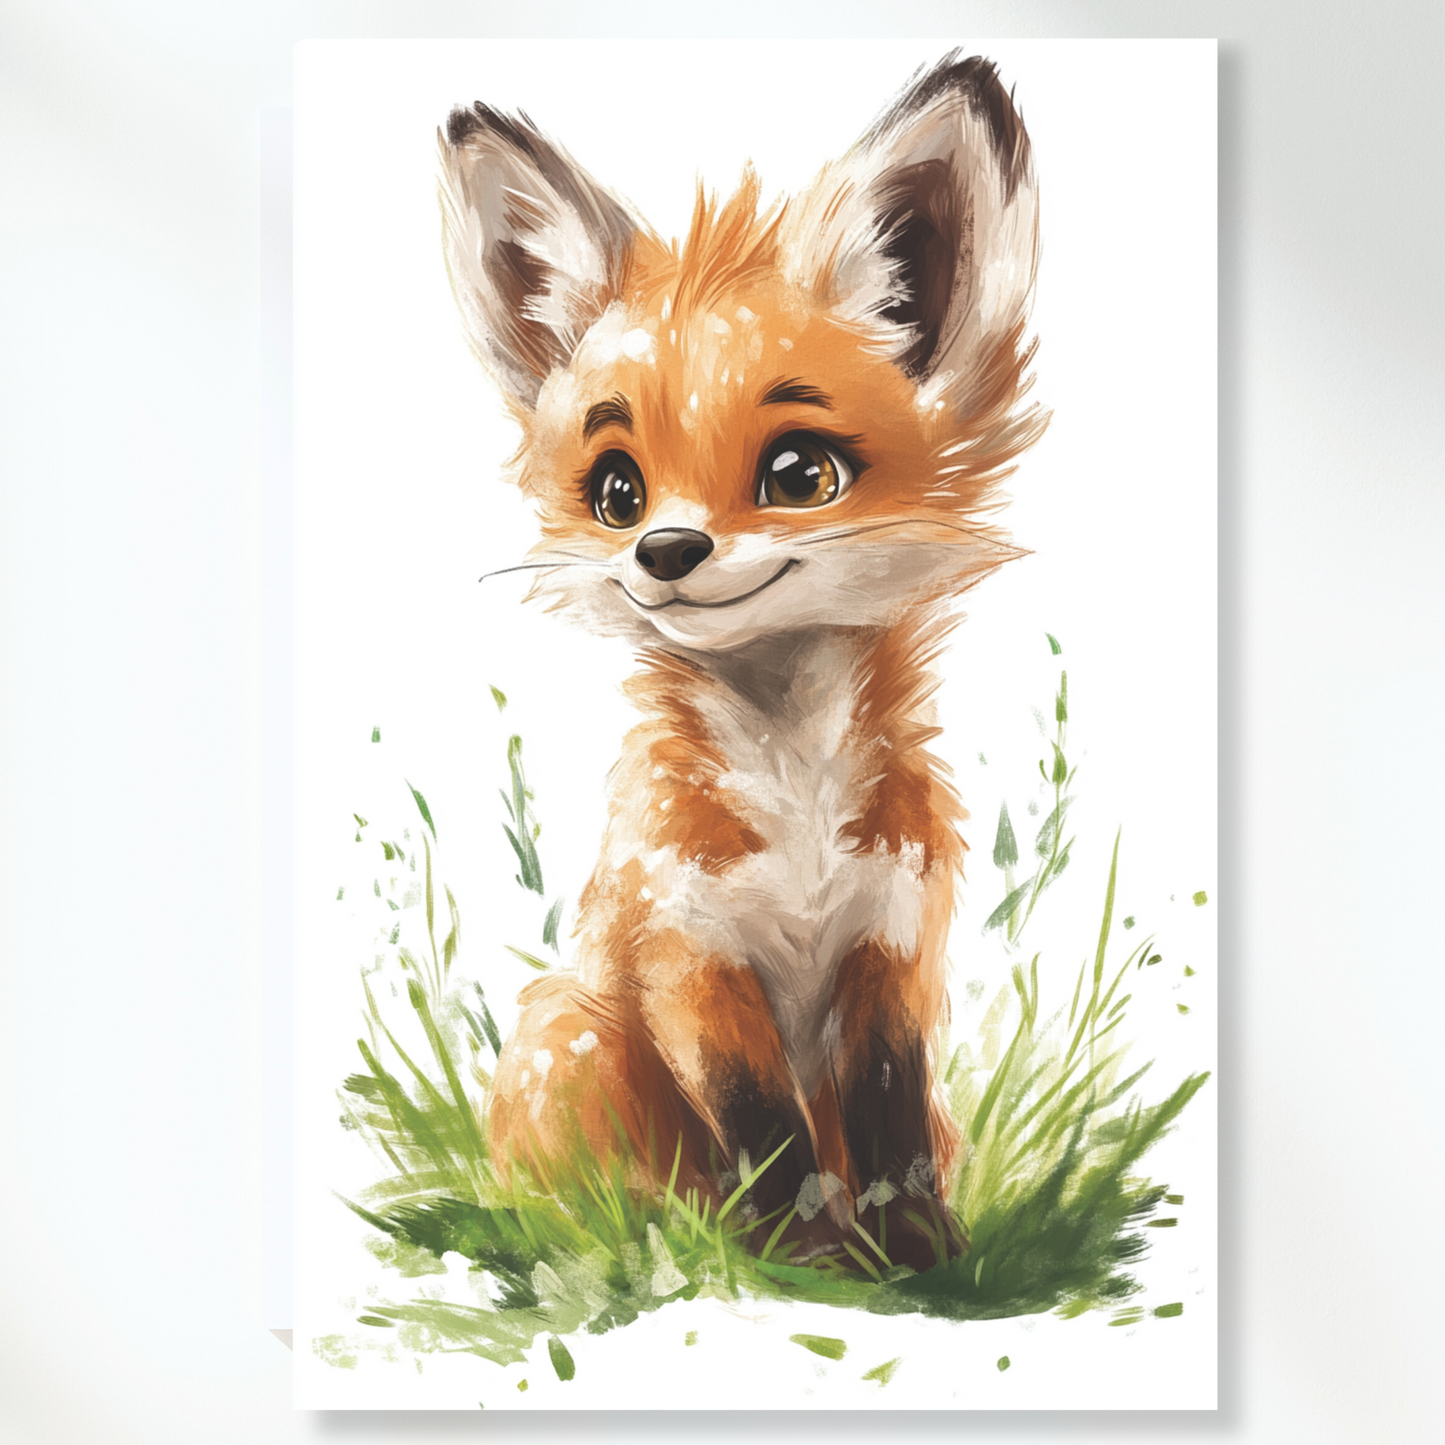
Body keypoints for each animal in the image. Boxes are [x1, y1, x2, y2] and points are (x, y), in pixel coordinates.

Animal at [437, 52, 1045, 1271]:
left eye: (799, 473)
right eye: (616, 490)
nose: (665, 550)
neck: (796, 805)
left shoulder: (888, 942)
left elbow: (887, 1125)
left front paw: (921, 1258)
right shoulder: (688, 955)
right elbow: (765, 1131)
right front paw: (801, 1266)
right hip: (571, 1033)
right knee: (603, 1205)